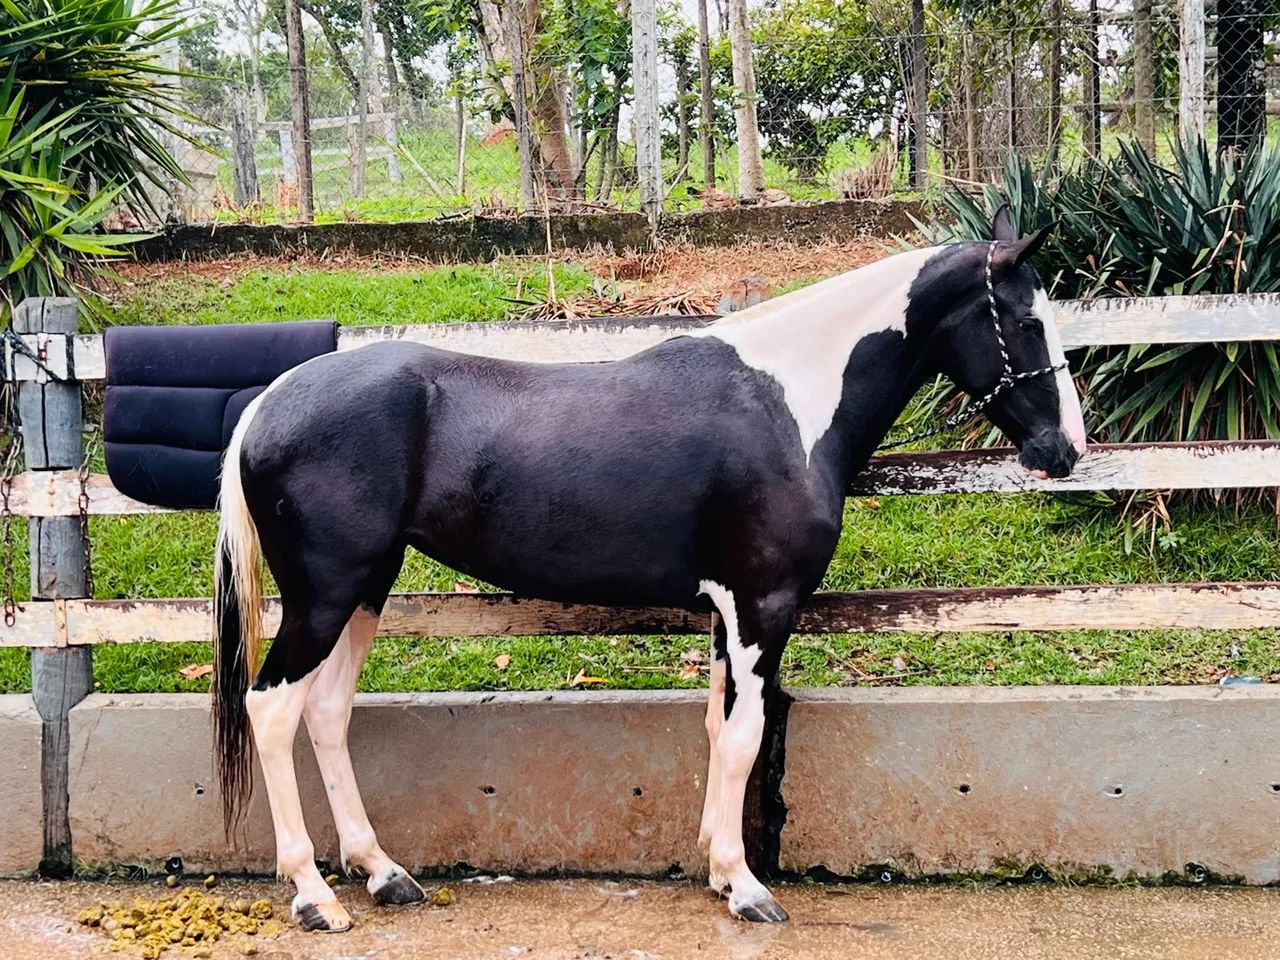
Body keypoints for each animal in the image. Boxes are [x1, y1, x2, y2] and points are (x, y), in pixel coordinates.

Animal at [211, 207, 1086, 931]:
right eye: (1028, 320)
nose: (1067, 451)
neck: (787, 405)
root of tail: (268, 403)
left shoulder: (728, 612)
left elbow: (719, 730)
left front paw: (719, 868)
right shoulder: (762, 606)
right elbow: (745, 736)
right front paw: (745, 886)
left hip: (365, 591)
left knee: (327, 712)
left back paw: (383, 872)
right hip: (325, 597)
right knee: (273, 708)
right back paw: (314, 896)